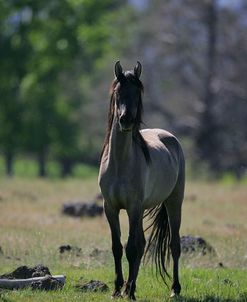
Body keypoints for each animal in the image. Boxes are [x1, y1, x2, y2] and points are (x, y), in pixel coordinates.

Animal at [98, 61, 185, 300]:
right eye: (118, 92)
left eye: (137, 93)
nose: (126, 120)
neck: (120, 163)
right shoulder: (110, 207)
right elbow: (117, 247)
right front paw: (118, 289)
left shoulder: (133, 207)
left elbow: (131, 248)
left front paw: (127, 290)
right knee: (142, 243)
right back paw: (131, 286)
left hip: (174, 202)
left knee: (174, 245)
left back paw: (174, 289)